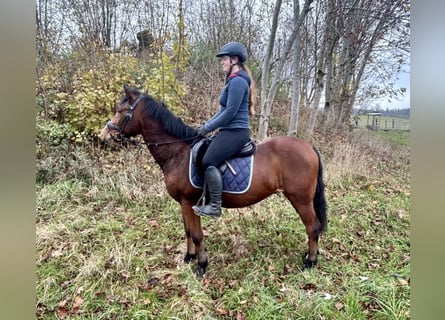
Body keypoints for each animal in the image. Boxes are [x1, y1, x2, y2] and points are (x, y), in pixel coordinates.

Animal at [100, 85, 326, 278]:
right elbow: (188, 231)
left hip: (301, 199)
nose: (104, 135)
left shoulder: (189, 203)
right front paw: (188, 257)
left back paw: (310, 261)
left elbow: (197, 235)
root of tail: (309, 147)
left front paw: (201, 265)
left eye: (121, 110)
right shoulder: (183, 204)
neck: (179, 153)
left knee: (312, 226)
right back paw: (309, 256)